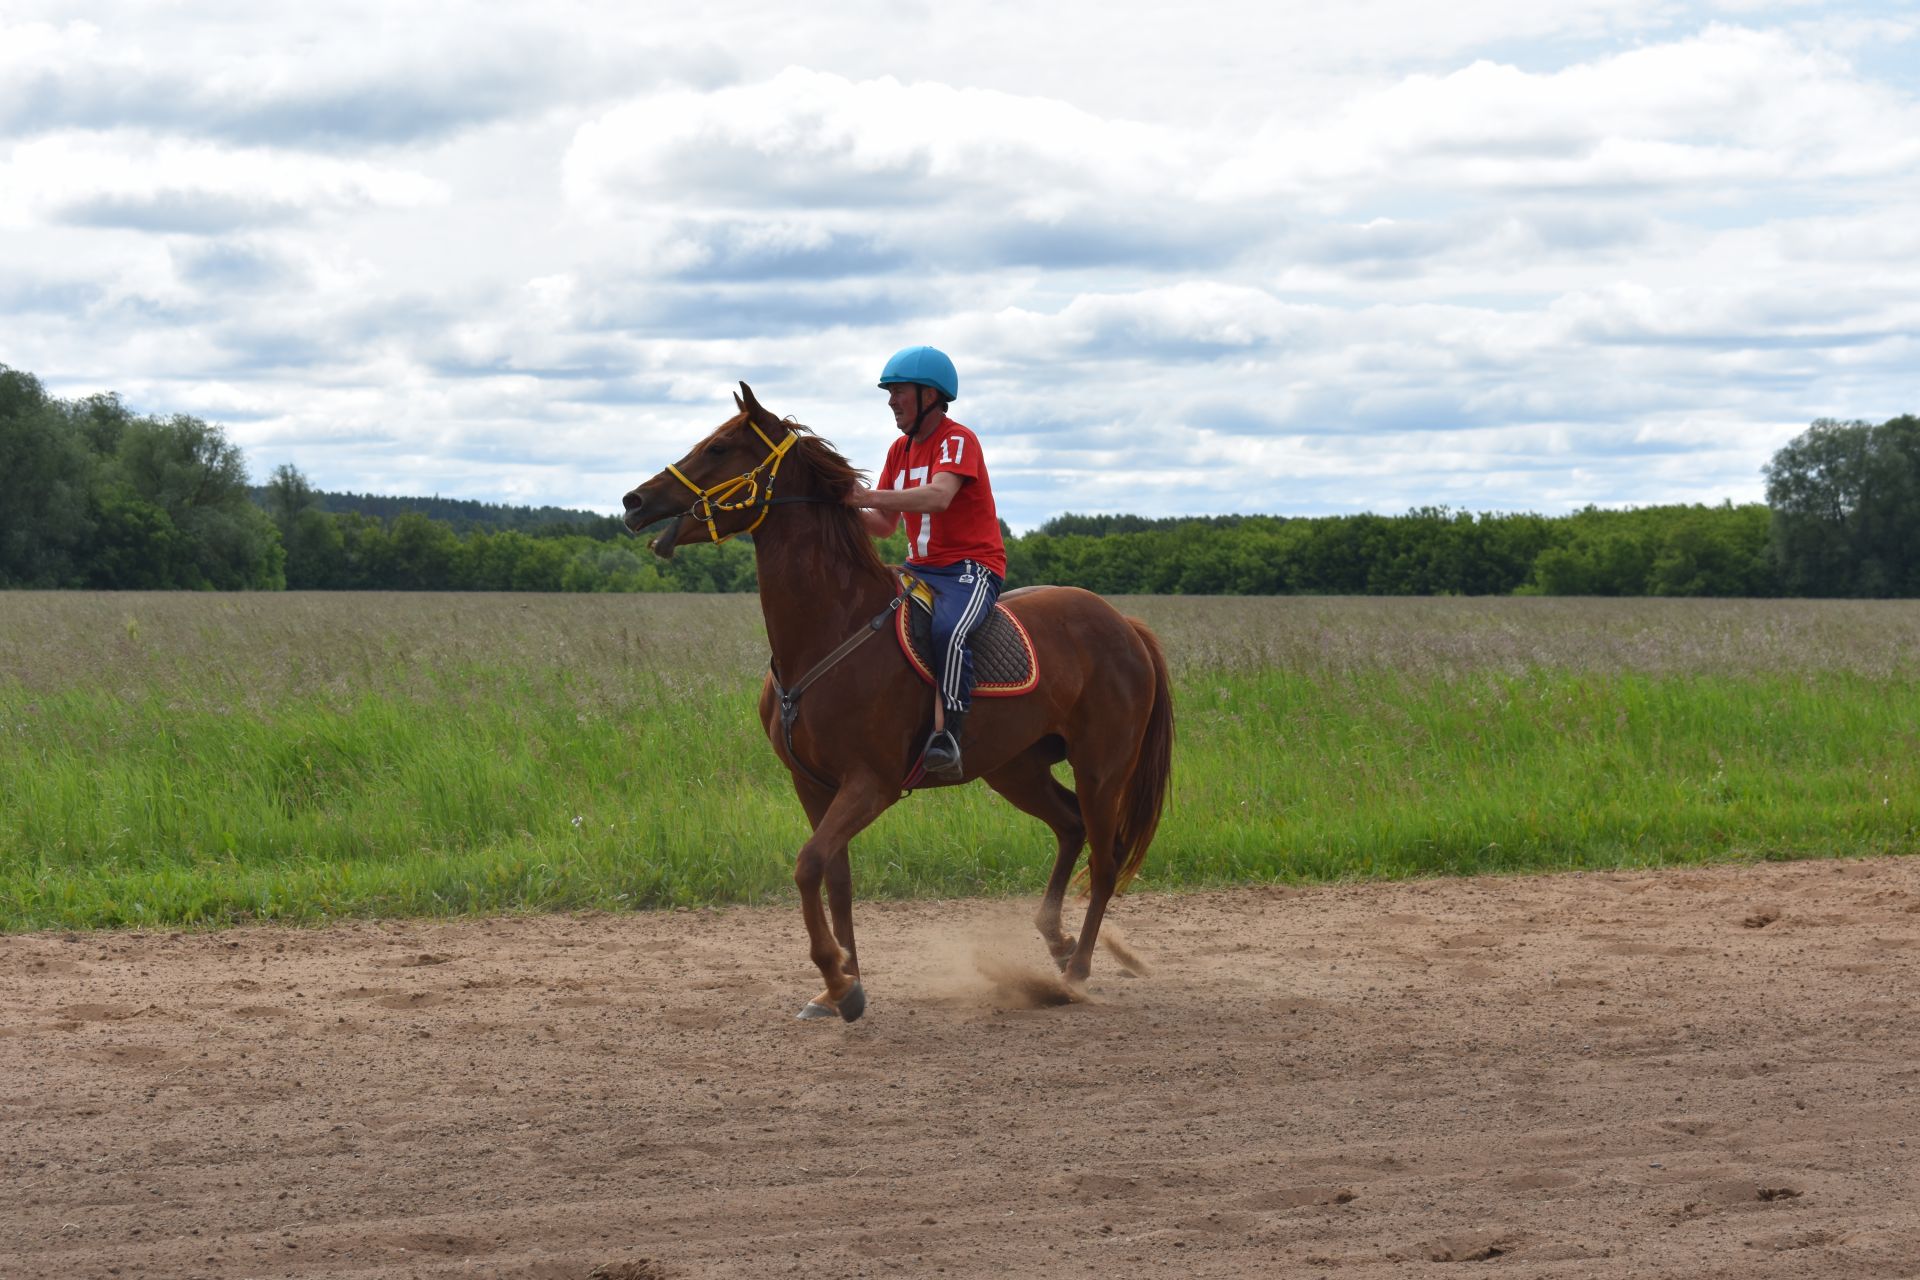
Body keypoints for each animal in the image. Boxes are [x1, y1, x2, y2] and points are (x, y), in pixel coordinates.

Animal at [622, 379, 1175, 1020]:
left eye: (717, 448)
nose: (633, 501)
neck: (829, 627)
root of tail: (1122, 623)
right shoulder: (813, 784)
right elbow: (835, 877)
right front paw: (841, 984)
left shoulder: (872, 782)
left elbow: (808, 866)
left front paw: (839, 980)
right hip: (1016, 767)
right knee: (1070, 826)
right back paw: (1055, 941)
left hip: (1101, 768)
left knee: (1105, 860)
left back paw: (1076, 973)